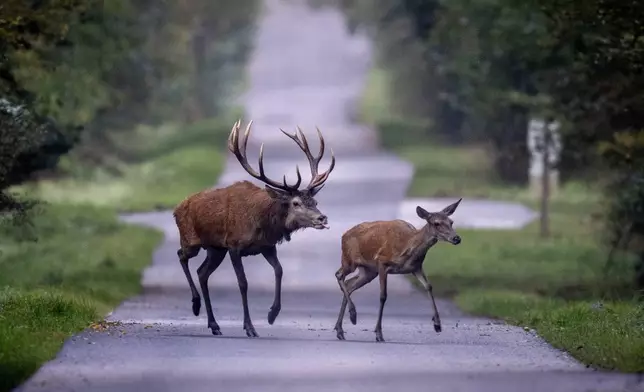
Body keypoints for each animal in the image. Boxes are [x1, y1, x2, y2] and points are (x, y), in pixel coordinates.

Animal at [175, 119, 338, 336]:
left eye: (315, 201)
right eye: (295, 203)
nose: (322, 218)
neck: (263, 222)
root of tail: (177, 208)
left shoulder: (267, 246)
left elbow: (279, 270)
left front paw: (272, 315)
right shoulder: (234, 245)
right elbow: (243, 283)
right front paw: (250, 327)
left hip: (216, 249)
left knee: (202, 273)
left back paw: (214, 324)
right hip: (190, 239)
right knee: (182, 255)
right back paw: (195, 304)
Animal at [332, 198, 462, 342]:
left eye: (451, 222)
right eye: (436, 223)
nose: (457, 238)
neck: (407, 246)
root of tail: (343, 236)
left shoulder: (416, 267)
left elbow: (429, 286)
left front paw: (437, 325)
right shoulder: (382, 262)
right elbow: (383, 296)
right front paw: (378, 333)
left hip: (368, 271)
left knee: (349, 284)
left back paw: (340, 330)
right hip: (349, 260)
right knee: (339, 275)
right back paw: (352, 316)